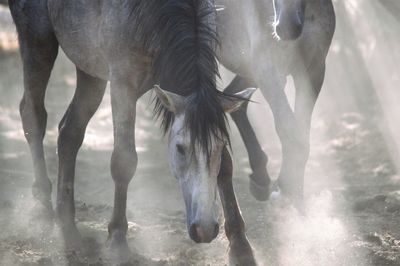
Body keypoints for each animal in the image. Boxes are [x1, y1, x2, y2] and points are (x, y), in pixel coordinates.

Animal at [10, 0, 256, 264]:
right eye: (180, 148)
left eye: (219, 147)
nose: (205, 229)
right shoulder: (122, 84)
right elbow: (123, 161)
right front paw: (117, 239)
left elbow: (226, 165)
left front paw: (240, 246)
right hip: (37, 40)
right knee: (33, 114)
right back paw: (42, 205)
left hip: (91, 71)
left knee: (69, 132)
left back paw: (68, 224)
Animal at [217, 0, 336, 204]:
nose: (287, 25)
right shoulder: (268, 69)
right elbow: (289, 130)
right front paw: (287, 193)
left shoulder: (313, 71)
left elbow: (302, 135)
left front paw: (293, 192)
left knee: (234, 99)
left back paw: (260, 177)